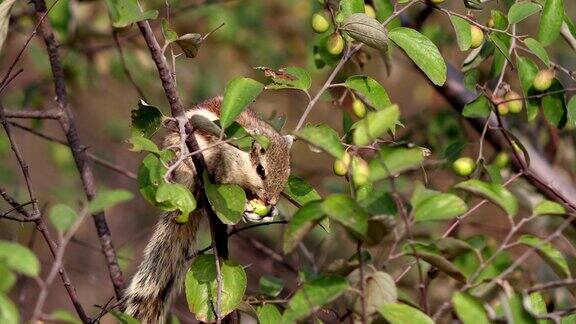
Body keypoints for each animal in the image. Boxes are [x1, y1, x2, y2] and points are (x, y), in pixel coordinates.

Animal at [123, 97, 290, 324]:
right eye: (261, 170)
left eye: (288, 173)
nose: (271, 200)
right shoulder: (225, 164)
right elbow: (223, 184)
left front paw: (267, 212)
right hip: (180, 162)